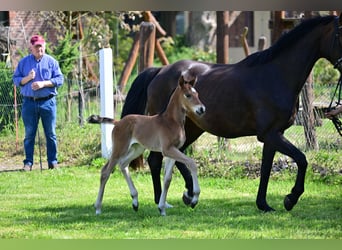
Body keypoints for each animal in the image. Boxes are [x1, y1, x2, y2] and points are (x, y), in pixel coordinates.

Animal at [88, 73, 206, 215]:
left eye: (197, 94)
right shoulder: (168, 150)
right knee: (106, 171)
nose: (202, 109)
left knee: (123, 165)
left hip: (136, 148)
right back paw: (98, 208)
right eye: (188, 95)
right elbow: (192, 163)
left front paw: (162, 209)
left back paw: (135, 202)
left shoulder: (173, 151)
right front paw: (194, 200)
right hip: (119, 149)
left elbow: (167, 179)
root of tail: (118, 122)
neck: (171, 121)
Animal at [122, 14, 342, 212]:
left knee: (174, 157)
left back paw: (186, 194)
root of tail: (159, 71)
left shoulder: (273, 136)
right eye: (340, 32)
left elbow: (266, 169)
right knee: (156, 160)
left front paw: (263, 204)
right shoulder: (270, 134)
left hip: (191, 129)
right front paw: (290, 198)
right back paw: (166, 199)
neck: (276, 76)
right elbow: (302, 159)